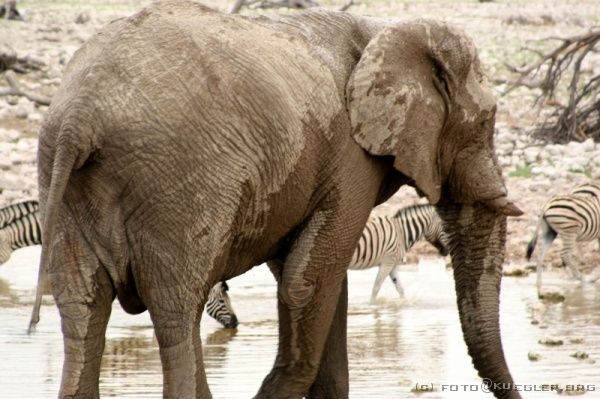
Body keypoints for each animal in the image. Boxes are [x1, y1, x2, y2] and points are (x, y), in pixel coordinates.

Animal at [30, 1, 524, 398]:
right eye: (487, 121)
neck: (385, 29)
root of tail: (80, 115)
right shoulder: (349, 157)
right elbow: (308, 284)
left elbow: (316, 277)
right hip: (179, 184)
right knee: (176, 311)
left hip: (61, 178)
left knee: (83, 309)